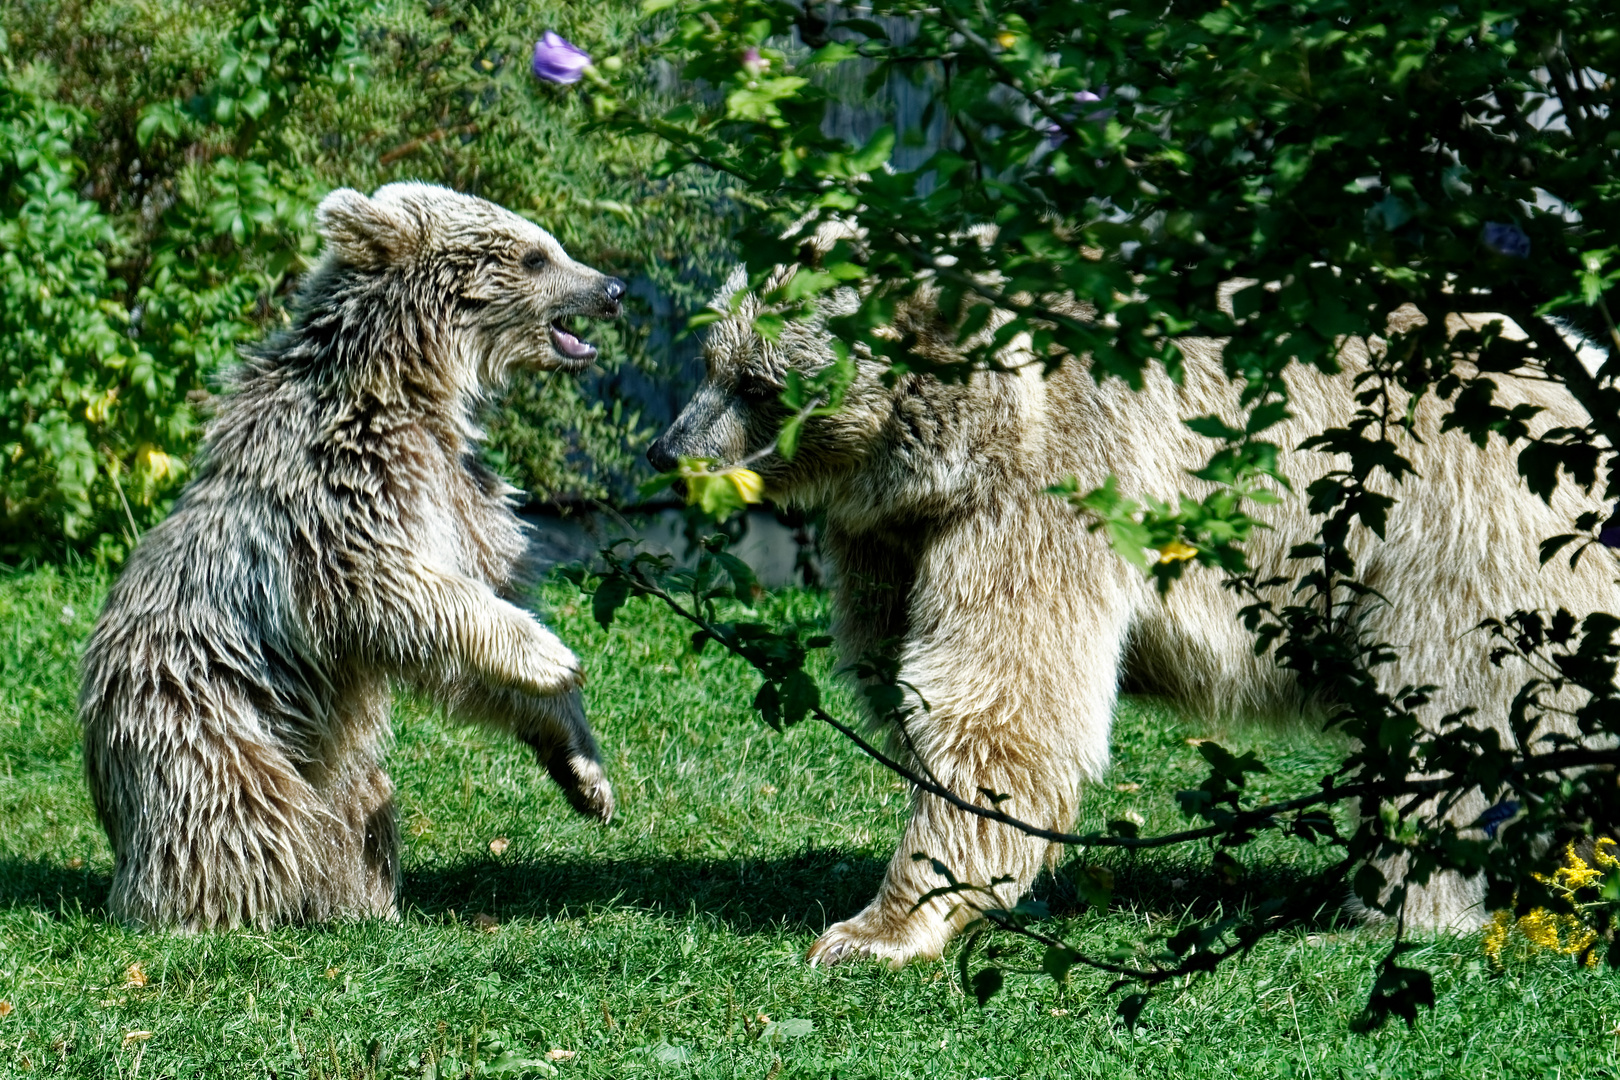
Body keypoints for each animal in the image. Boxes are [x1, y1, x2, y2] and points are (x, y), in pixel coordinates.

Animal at [80, 183, 625, 932]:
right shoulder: (345, 492)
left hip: (324, 757)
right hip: (201, 718)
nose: (613, 288)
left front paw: (584, 769)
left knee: (362, 804)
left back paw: (362, 900)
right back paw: (224, 907)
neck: (412, 389)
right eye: (535, 255)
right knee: (240, 817)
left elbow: (476, 624)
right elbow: (398, 592)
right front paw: (551, 655)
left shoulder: (460, 496)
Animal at [644, 259, 1620, 965]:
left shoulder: (1058, 497)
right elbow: (907, 673)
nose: (666, 449)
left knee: (1434, 723)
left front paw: (873, 931)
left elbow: (1000, 700)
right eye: (709, 363)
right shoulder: (898, 538)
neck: (963, 444)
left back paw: (1389, 905)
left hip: (1450, 535)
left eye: (759, 384)